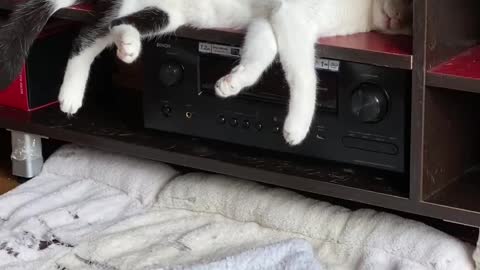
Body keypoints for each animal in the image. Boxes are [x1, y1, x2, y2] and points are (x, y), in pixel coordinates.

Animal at [0, 0, 412, 146]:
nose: (401, 18)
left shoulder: (273, 20)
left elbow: (260, 53)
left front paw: (232, 83)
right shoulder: (291, 16)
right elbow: (302, 74)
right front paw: (297, 126)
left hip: (163, 13)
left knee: (107, 28)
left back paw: (123, 50)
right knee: (88, 34)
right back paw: (76, 90)